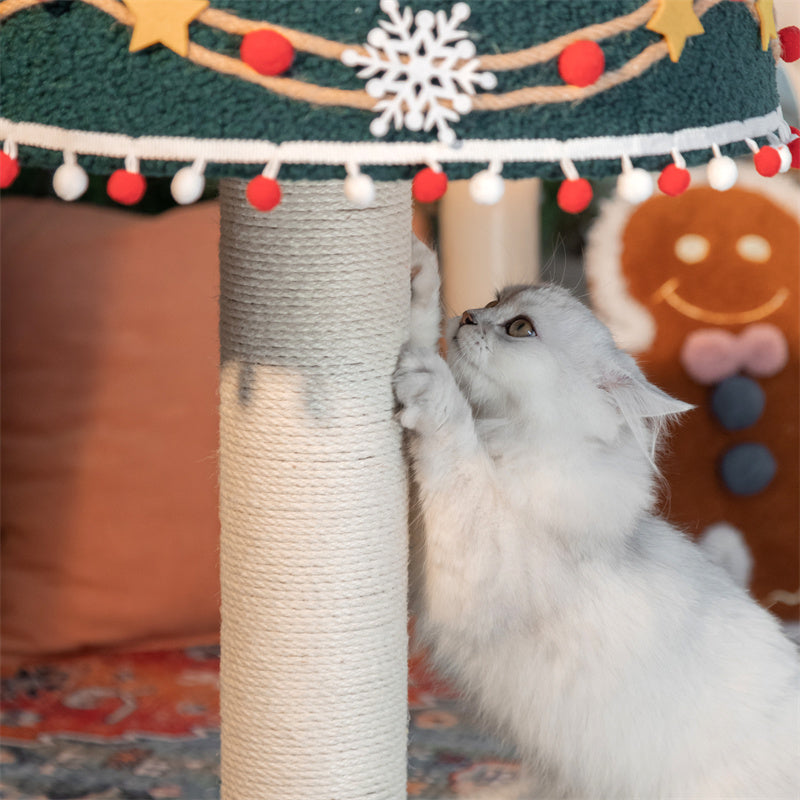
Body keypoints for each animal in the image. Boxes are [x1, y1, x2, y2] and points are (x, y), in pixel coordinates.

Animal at [394, 250, 800, 800]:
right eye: (494, 301)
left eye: (520, 328)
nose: (470, 317)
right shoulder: (419, 542)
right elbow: (417, 336)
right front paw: (417, 278)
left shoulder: (476, 567)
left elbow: (455, 447)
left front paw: (432, 381)